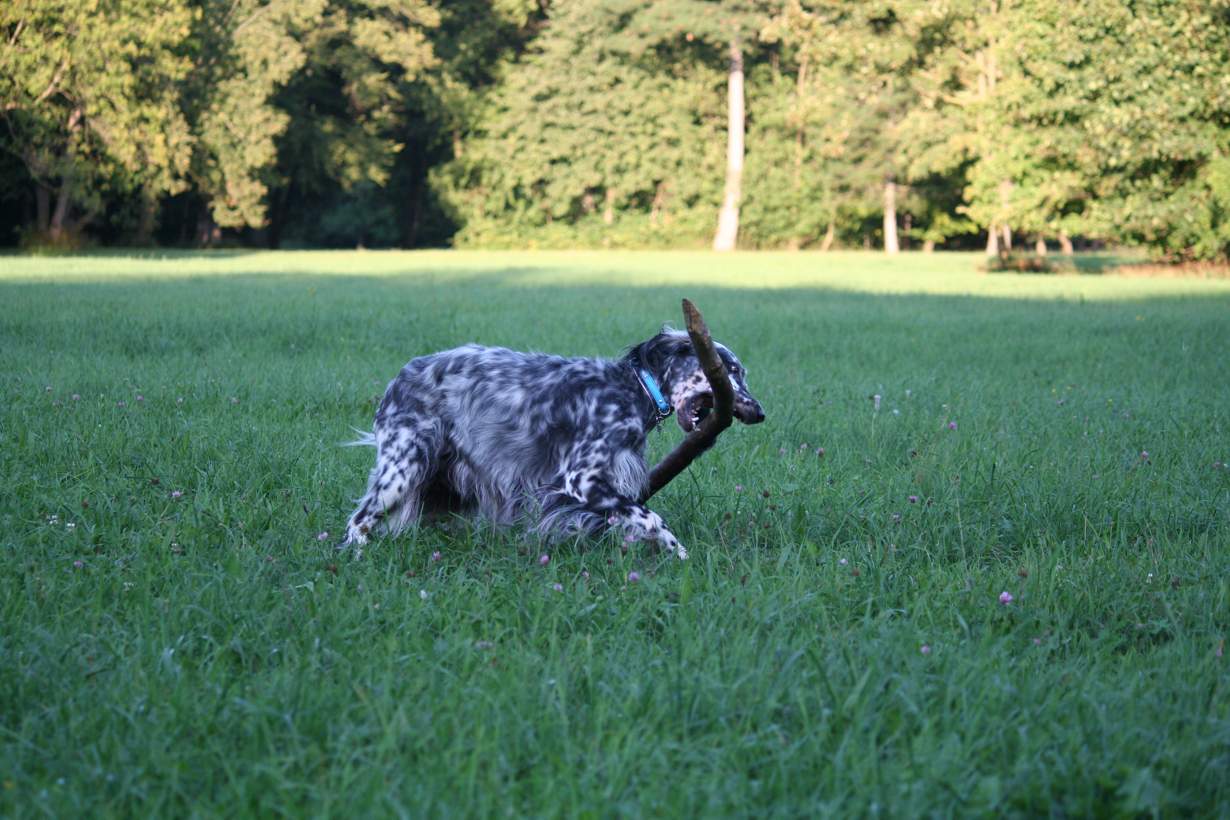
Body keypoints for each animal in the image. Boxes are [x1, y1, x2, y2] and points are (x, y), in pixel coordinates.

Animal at [342, 328, 764, 559]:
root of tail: (400, 376)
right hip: (403, 467)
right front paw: (680, 554)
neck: (632, 389)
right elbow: (651, 518)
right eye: (730, 370)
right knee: (358, 520)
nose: (759, 412)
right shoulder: (583, 478)